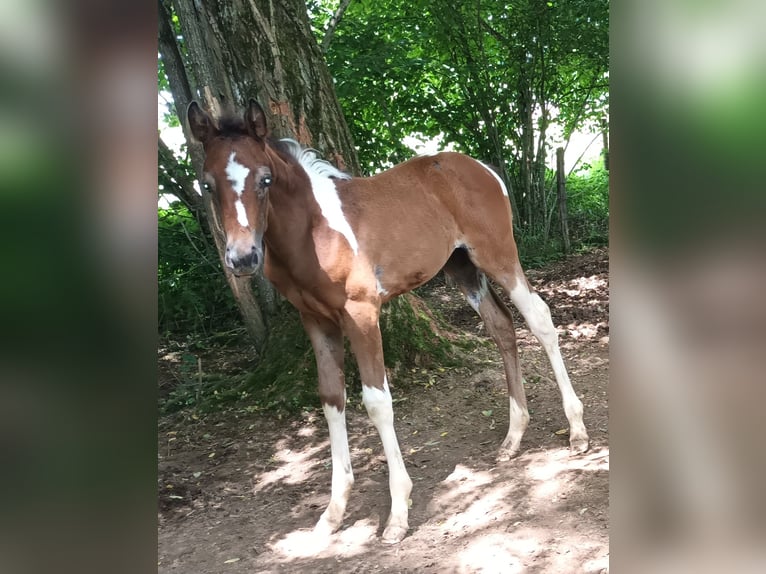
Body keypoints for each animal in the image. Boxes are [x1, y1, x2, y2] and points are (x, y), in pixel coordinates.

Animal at [189, 101, 592, 548]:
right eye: (207, 185)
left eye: (265, 179)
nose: (243, 258)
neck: (312, 230)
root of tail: (484, 169)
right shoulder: (316, 321)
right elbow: (331, 398)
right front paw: (333, 513)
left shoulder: (361, 312)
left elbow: (377, 402)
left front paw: (398, 513)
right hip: (462, 268)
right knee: (501, 327)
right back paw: (513, 437)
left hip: (497, 256)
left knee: (539, 318)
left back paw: (577, 431)